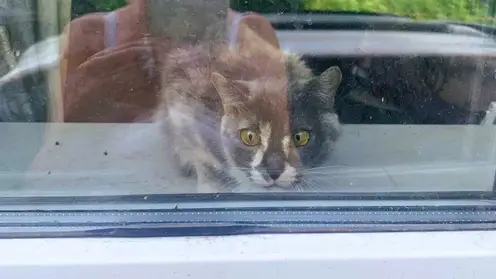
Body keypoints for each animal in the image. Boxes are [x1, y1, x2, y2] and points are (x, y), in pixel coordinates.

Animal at [155, 43, 340, 194]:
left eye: (299, 137)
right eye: (250, 137)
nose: (273, 171)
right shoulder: (184, 108)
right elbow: (198, 154)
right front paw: (211, 184)